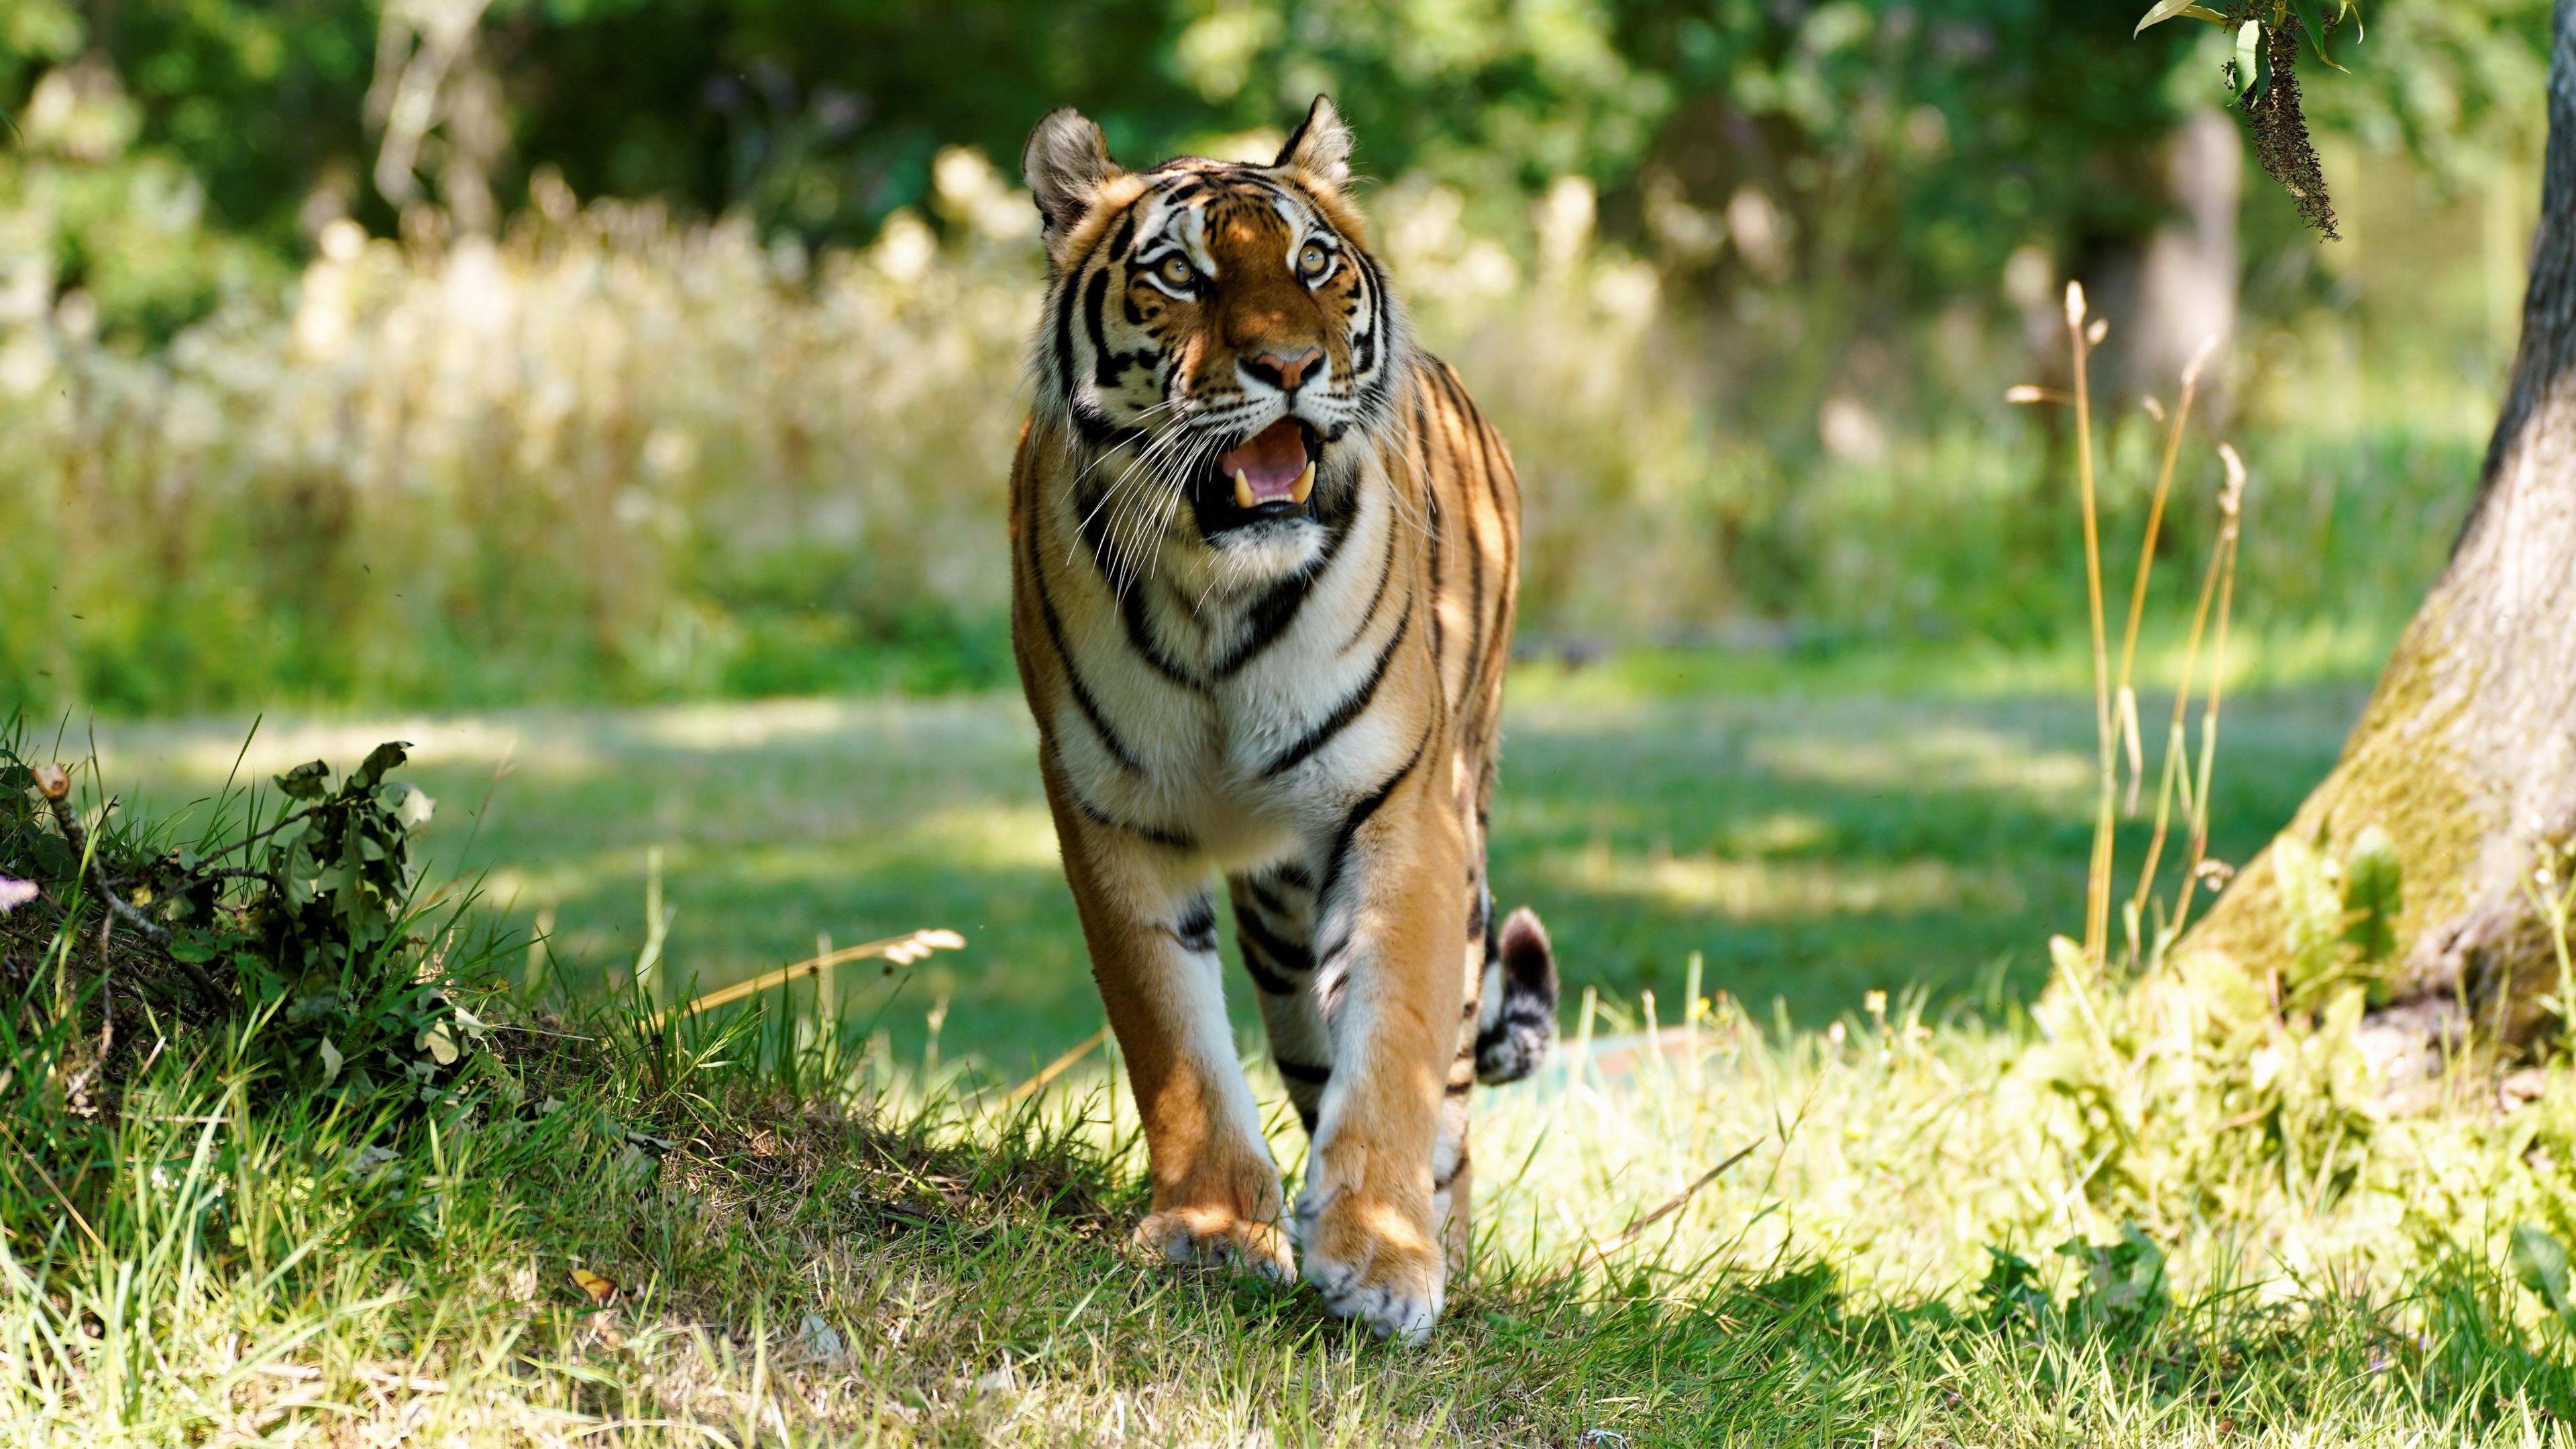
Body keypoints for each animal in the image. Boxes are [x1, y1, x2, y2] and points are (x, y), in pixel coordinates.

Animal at [1014, 96, 1556, 1340]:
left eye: (1313, 264)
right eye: (1179, 272)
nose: (1294, 366)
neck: (1219, 591)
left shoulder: (1399, 809)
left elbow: (1396, 1049)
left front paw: (1383, 1258)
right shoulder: (1108, 813)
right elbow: (1171, 1041)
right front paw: (1214, 1231)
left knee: (1450, 1099)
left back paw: (1448, 1243)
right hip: (1280, 908)